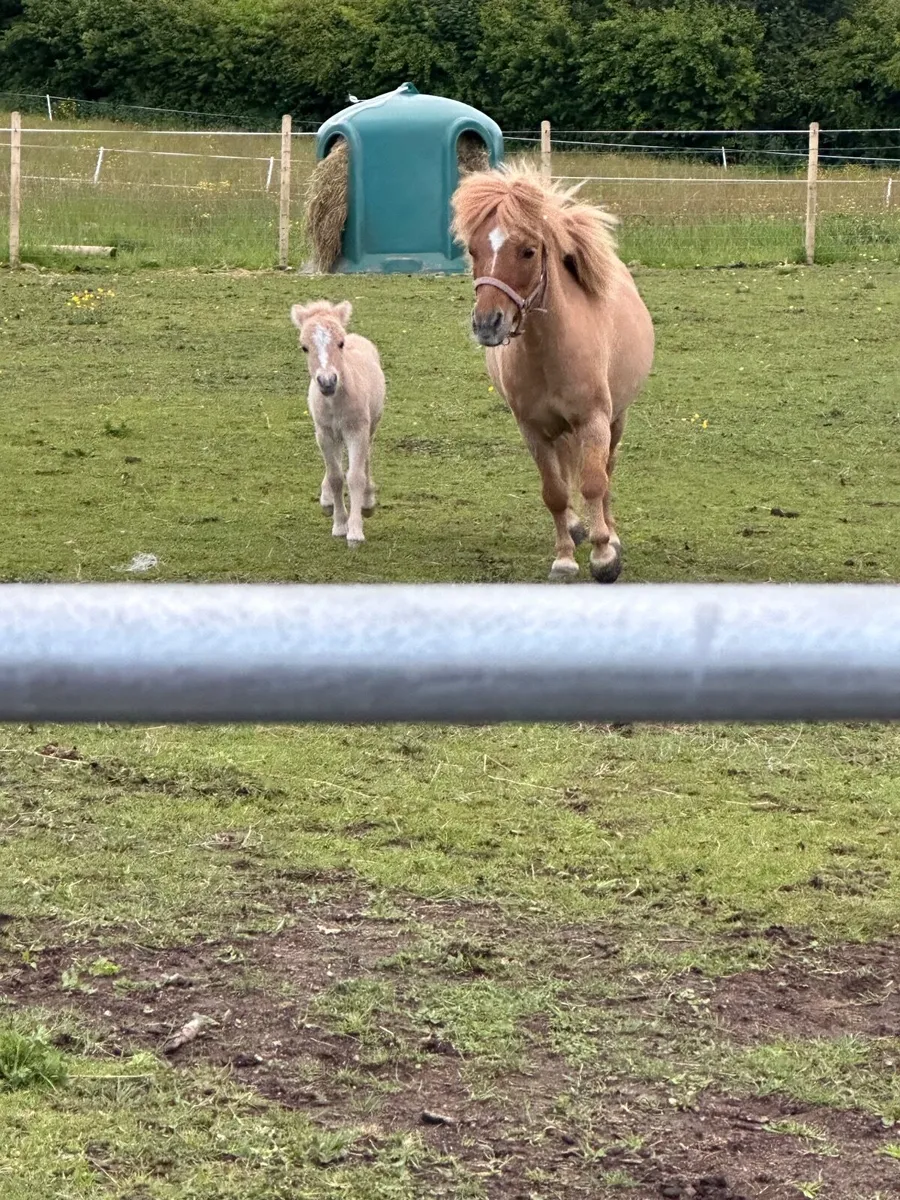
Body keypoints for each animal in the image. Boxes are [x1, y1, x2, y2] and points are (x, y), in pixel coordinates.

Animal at [290, 300, 386, 546]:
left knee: (366, 458)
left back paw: (367, 502)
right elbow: (335, 477)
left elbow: (355, 476)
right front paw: (340, 524)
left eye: (340, 343)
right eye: (304, 347)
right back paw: (326, 501)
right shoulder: (324, 434)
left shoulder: (357, 431)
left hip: (371, 424)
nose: (327, 381)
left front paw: (355, 531)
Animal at [451, 164, 654, 582]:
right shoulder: (532, 429)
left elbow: (594, 482)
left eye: (528, 251)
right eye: (473, 250)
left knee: (607, 469)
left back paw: (609, 532)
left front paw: (604, 555)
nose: (487, 324)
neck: (550, 352)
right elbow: (555, 491)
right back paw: (577, 528)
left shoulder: (594, 421)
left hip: (617, 419)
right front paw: (564, 558)